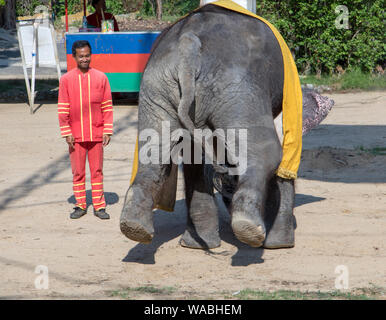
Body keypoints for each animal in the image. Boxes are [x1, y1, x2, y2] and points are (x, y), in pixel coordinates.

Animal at [119, 4, 334, 250]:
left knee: (155, 153)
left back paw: (138, 228)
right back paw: (249, 229)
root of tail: (189, 43)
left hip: (157, 86)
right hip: (237, 88)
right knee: (269, 152)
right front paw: (280, 245)